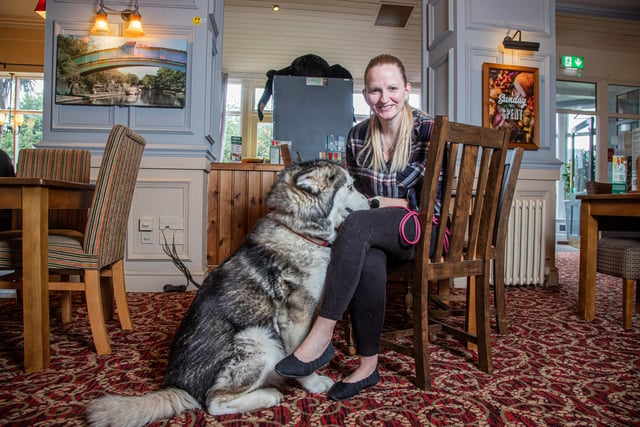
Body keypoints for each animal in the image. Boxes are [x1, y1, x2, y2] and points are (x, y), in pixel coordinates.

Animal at [85, 160, 370, 427]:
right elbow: (303, 354)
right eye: (350, 187)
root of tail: (180, 387)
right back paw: (269, 394)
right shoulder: (296, 315)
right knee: (215, 402)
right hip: (259, 339)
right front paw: (312, 382)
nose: (372, 201)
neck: (297, 231)